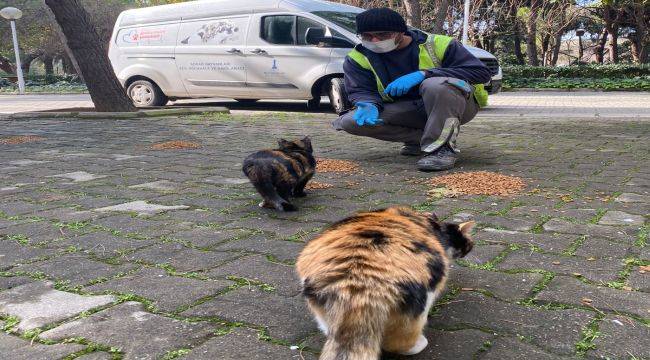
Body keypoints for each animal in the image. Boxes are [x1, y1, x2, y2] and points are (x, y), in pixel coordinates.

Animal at [296, 205, 474, 360]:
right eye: (468, 243)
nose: (470, 247)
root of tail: (357, 285)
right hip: (420, 303)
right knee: (401, 343)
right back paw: (420, 342)